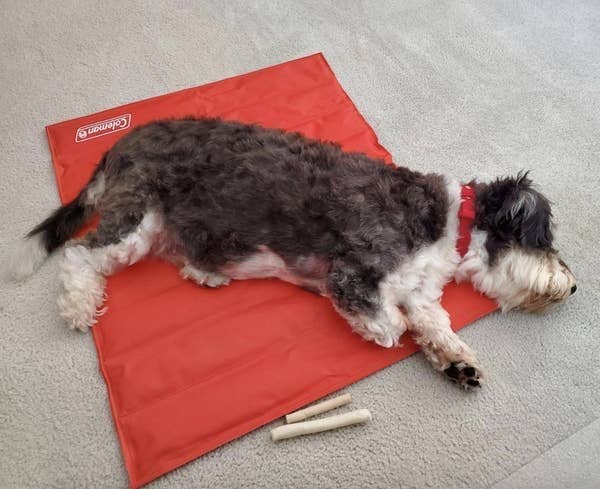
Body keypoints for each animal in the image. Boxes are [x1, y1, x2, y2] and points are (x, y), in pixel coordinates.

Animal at [5, 117, 576, 388]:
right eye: (545, 239)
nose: (572, 286)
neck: (448, 224)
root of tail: (122, 143)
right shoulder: (355, 272)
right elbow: (390, 322)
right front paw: (387, 330)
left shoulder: (419, 290)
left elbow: (433, 323)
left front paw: (456, 362)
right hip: (136, 218)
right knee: (80, 254)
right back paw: (78, 306)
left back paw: (207, 272)